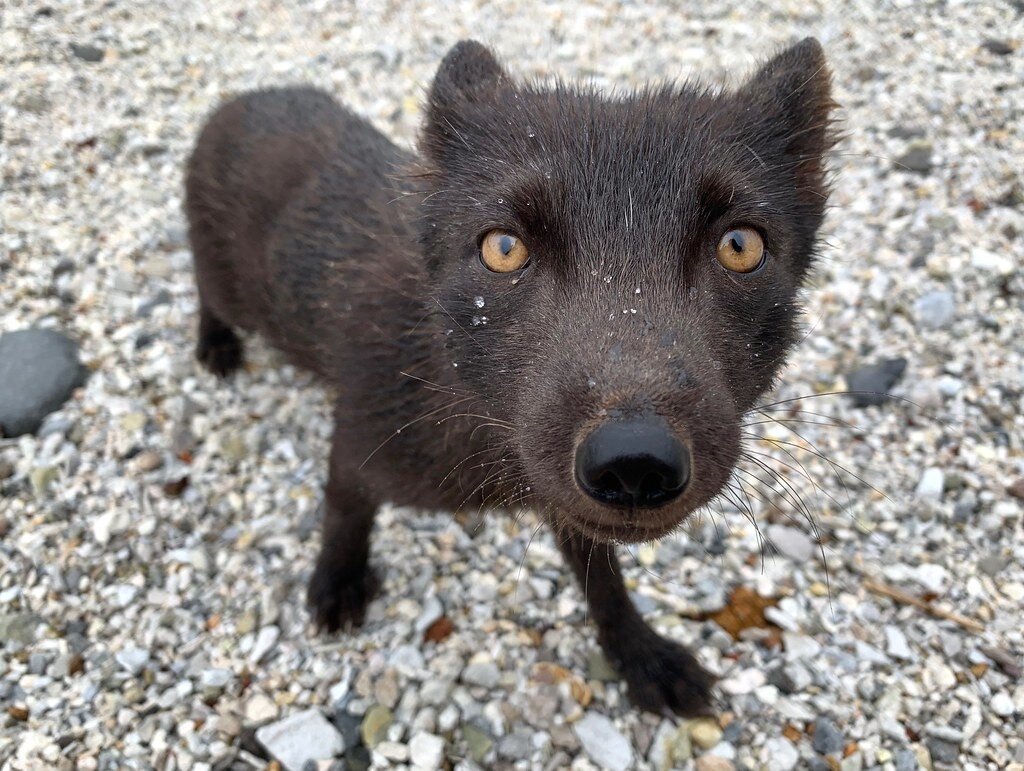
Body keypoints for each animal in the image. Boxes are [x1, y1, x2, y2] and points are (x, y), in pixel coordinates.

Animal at [186, 39, 831, 716]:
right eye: (503, 247)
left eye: (740, 245)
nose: (634, 460)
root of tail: (241, 101)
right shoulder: (359, 441)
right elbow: (342, 510)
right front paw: (337, 585)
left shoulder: (564, 502)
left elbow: (603, 581)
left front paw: (643, 657)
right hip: (231, 289)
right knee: (204, 290)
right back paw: (215, 347)